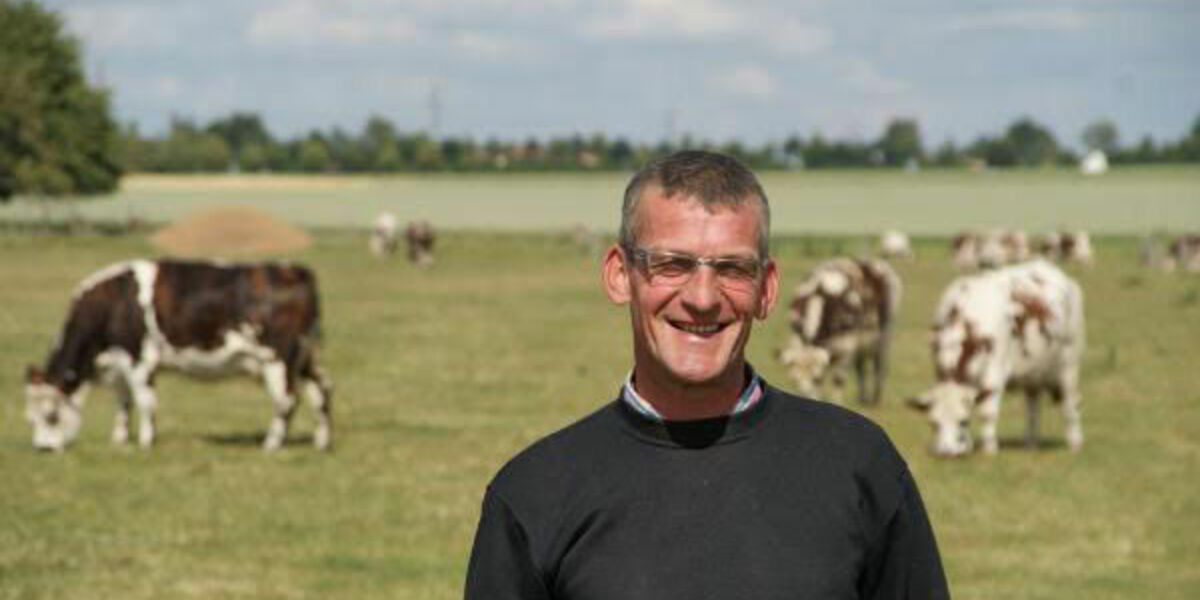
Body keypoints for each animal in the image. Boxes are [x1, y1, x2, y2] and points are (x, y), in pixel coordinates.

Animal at [24, 258, 333, 451]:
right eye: (30, 417)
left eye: (52, 415)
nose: (43, 449)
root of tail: (296, 270)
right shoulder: (119, 364)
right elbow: (124, 403)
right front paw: (119, 440)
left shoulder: (140, 359)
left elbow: (145, 402)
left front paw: (146, 443)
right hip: (304, 357)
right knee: (322, 390)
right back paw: (321, 442)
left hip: (278, 358)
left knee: (287, 400)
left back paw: (271, 444)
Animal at [777, 255, 902, 405]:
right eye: (795, 380)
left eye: (816, 378)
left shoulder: (847, 347)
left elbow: (838, 379)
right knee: (861, 368)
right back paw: (862, 397)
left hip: (884, 337)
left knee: (879, 367)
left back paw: (875, 398)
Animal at [907, 260, 1089, 456]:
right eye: (933, 423)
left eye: (964, 421)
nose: (947, 452)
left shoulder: (994, 373)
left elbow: (988, 412)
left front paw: (990, 448)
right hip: (1033, 372)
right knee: (1033, 408)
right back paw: (1030, 445)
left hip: (1069, 363)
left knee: (1071, 402)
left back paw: (1075, 443)